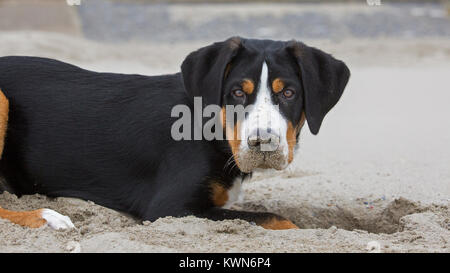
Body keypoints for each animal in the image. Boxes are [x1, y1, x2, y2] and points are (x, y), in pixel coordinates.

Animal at [0, 37, 352, 230]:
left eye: (289, 93)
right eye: (237, 93)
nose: (262, 143)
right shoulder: (171, 208)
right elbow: (277, 219)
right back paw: (47, 217)